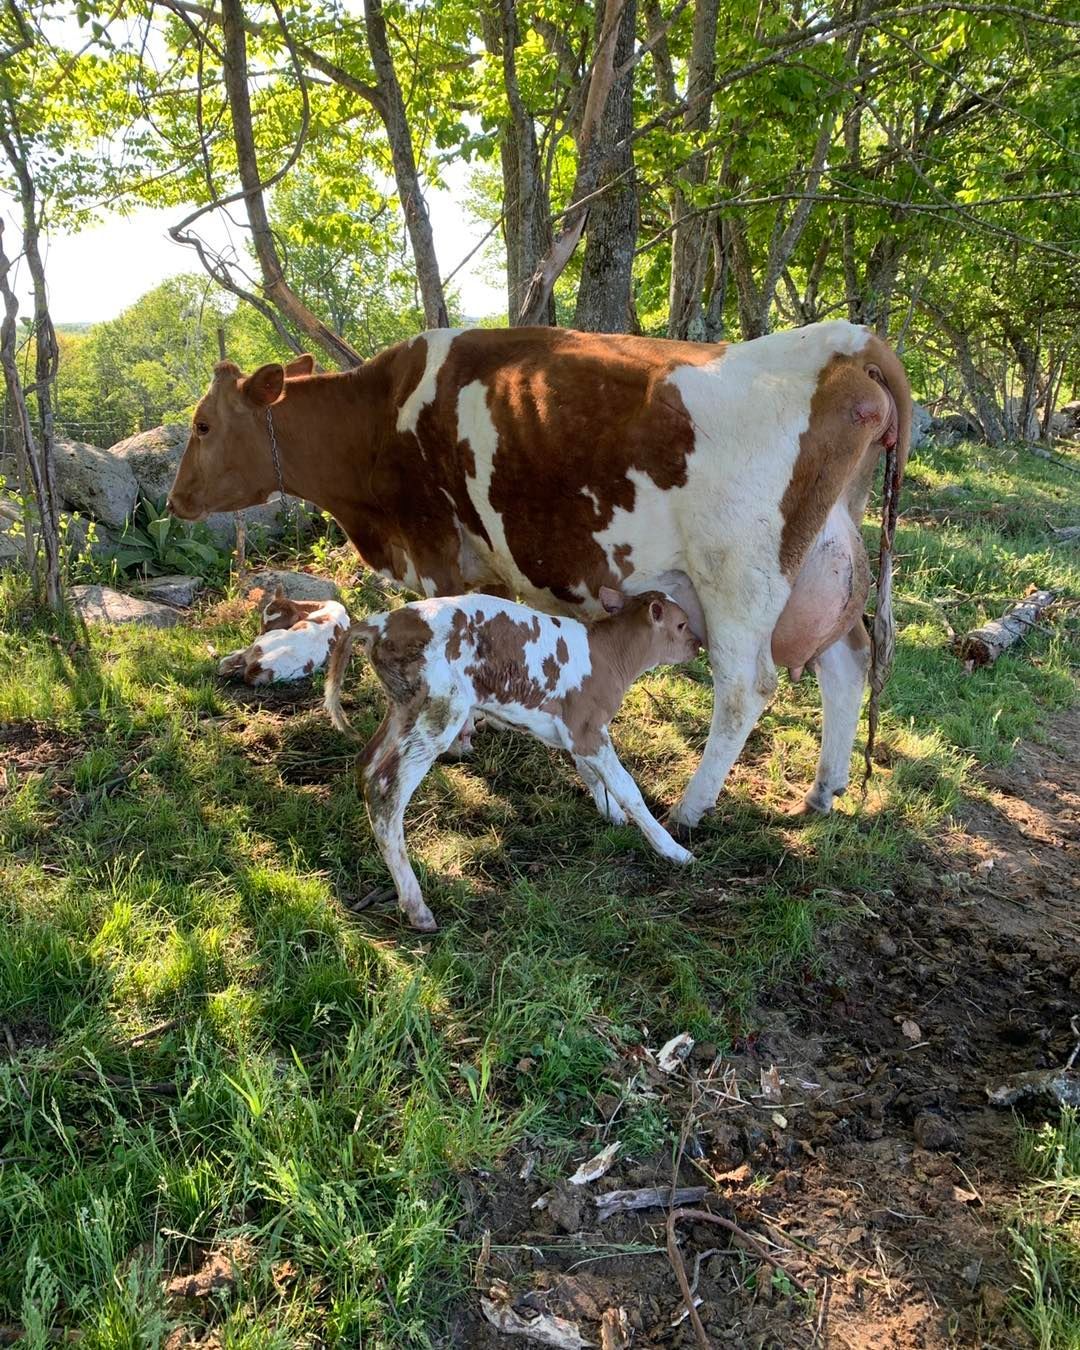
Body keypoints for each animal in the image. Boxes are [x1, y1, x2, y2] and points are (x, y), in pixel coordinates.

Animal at [168, 321, 910, 827]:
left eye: (202, 425)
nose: (175, 501)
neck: (382, 419)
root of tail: (846, 340)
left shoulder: (435, 548)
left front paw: (464, 737)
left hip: (738, 580)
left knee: (743, 689)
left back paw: (689, 810)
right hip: (827, 569)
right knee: (848, 663)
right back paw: (823, 790)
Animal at [323, 588, 702, 930]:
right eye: (682, 624)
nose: (698, 645)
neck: (607, 654)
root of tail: (383, 622)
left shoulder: (577, 732)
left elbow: (590, 773)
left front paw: (612, 814)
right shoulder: (588, 730)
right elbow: (628, 788)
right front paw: (673, 850)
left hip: (403, 708)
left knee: (366, 763)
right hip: (439, 712)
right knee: (385, 789)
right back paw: (417, 907)